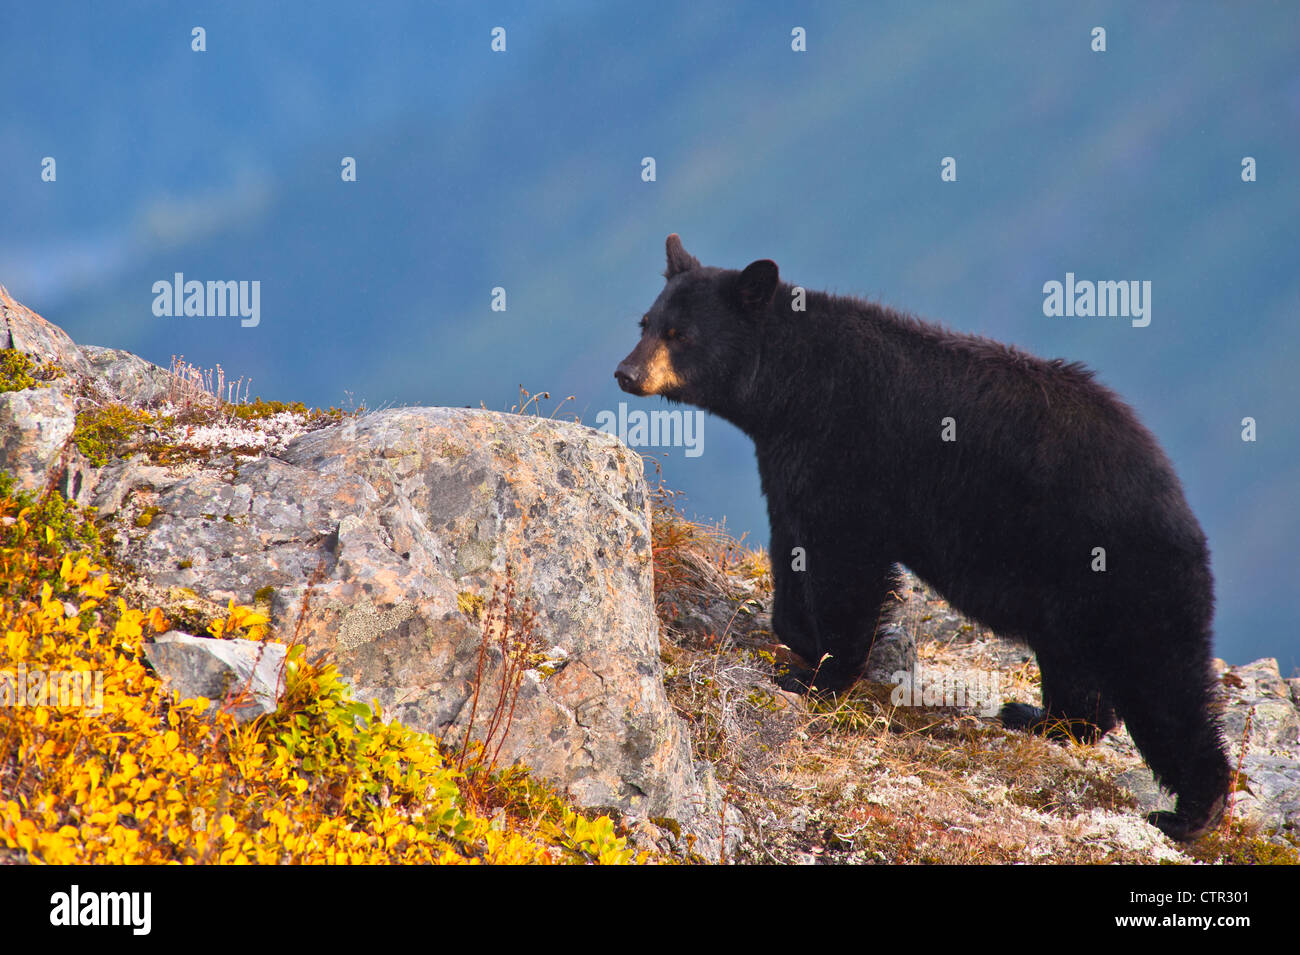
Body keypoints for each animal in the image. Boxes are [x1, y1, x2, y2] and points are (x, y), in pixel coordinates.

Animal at [613, 235, 1232, 841]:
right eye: (645, 322)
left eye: (680, 334)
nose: (626, 372)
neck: (791, 387)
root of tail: (1177, 500)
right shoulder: (788, 459)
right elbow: (793, 545)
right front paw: (800, 641)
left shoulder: (845, 450)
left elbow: (847, 563)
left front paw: (823, 675)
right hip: (1068, 590)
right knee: (1074, 663)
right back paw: (1042, 721)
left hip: (1123, 573)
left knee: (1164, 682)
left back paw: (1191, 811)